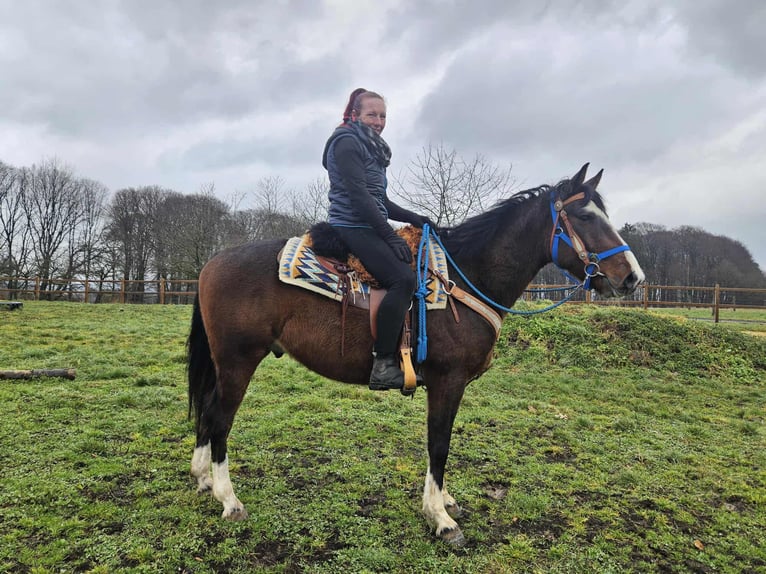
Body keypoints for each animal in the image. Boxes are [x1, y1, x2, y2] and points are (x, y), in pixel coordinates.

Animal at [187, 163, 645, 546]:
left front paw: (444, 502)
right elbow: (439, 444)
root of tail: (212, 264)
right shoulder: (448, 381)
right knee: (220, 419)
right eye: (586, 217)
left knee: (208, 412)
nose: (632, 278)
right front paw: (440, 518)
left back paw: (204, 479)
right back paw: (229, 499)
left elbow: (436, 445)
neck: (465, 276)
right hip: (238, 362)